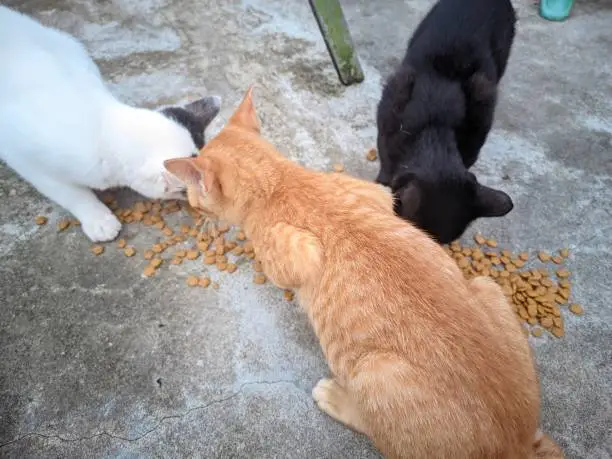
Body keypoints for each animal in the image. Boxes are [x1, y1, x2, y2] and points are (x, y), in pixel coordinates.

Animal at [164, 87, 564, 459]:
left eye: (195, 194)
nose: (191, 206)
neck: (279, 180)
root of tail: (516, 442)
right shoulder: (380, 195)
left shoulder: (298, 254)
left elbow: (287, 269)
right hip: (485, 285)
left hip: (373, 371)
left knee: (381, 435)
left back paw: (337, 398)